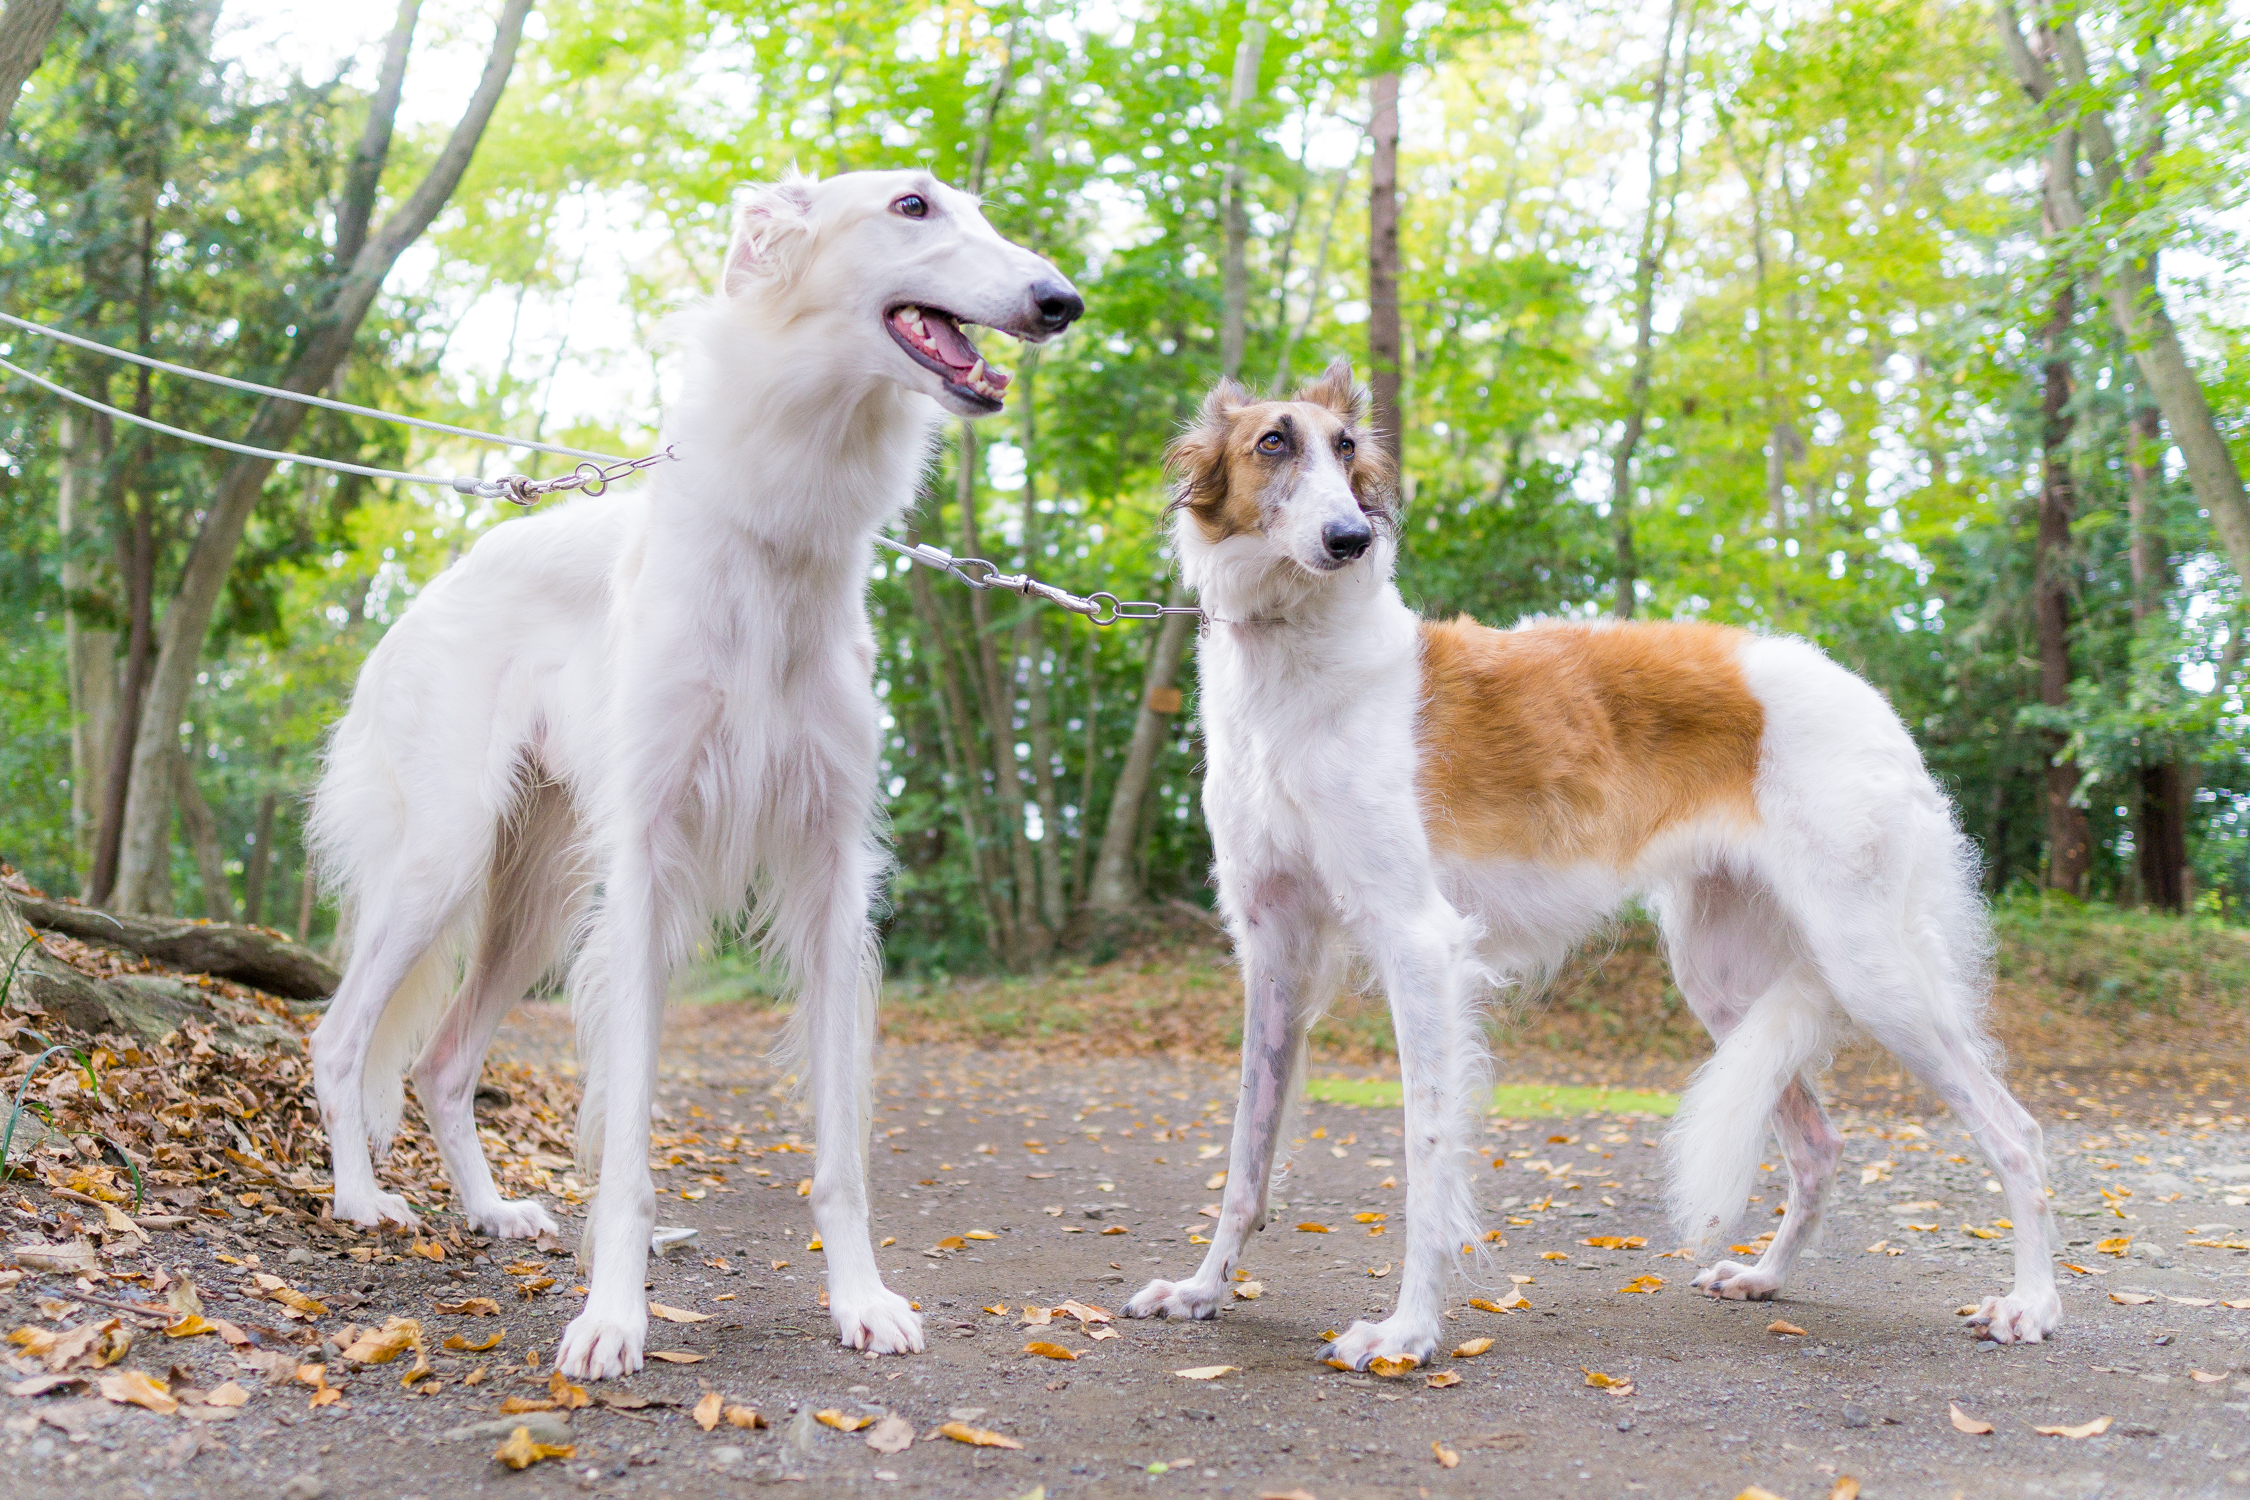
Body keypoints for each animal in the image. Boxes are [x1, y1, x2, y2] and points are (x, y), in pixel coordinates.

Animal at [308, 169, 1080, 1376]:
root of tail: (434, 587)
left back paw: (490, 1210)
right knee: (342, 1040)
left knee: (439, 1062)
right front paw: (613, 1319)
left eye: (982, 211)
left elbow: (841, 1152)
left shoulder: (829, 872)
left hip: (537, 893)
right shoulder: (649, 868)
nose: (1061, 301)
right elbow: (626, 1152)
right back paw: (358, 1198)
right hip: (446, 856)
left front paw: (862, 1302)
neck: (776, 547)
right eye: (911, 205)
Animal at [1125, 364, 2061, 1376]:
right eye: (1273, 443)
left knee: (2017, 1132)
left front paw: (1409, 1331)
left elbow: (1426, 1148)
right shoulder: (1274, 949)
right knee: (1818, 1144)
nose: (1351, 538)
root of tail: (1869, 700)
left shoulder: (1418, 941)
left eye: (1345, 450)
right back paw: (1765, 1275)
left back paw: (2033, 1303)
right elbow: (1245, 1157)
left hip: (1870, 964)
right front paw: (1203, 1289)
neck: (1294, 661)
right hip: (1723, 978)